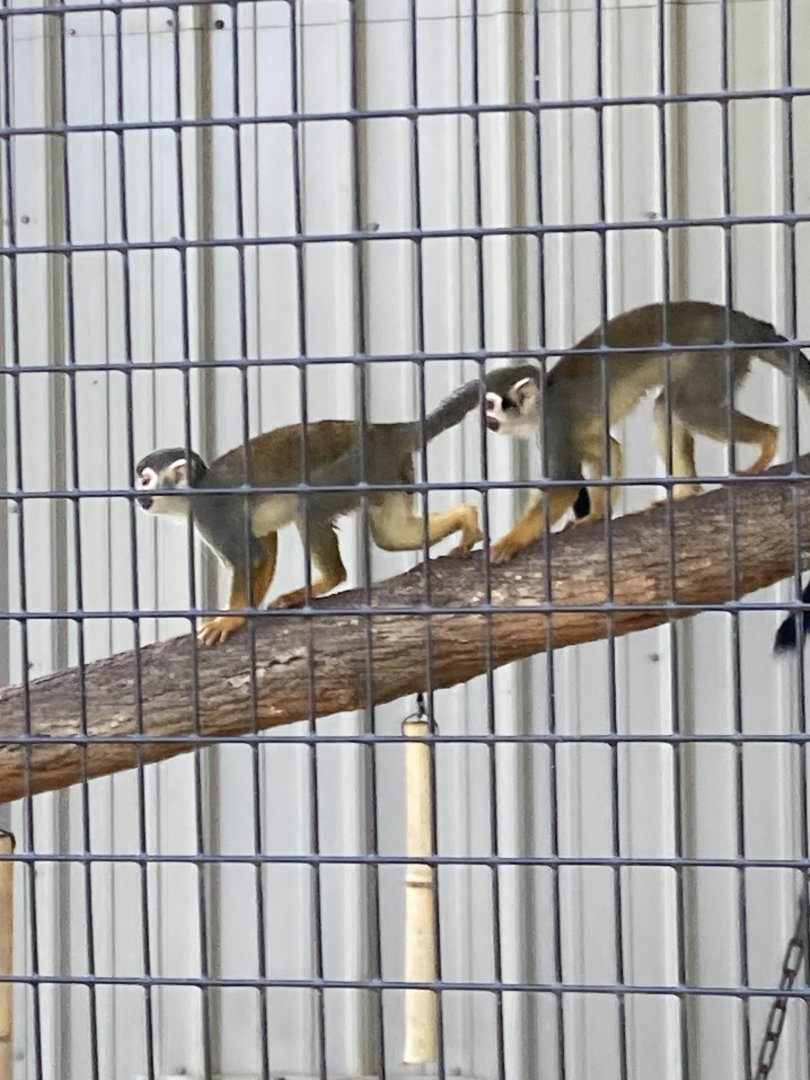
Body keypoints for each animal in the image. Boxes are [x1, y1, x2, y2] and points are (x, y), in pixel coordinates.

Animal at [135, 363, 543, 645]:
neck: (196, 491)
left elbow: (251, 556)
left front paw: (231, 619)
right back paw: (467, 518)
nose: (139, 496)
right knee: (393, 535)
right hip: (388, 471)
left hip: (354, 466)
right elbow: (265, 545)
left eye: (145, 480)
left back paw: (328, 580)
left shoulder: (212, 514)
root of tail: (387, 430)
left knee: (308, 507)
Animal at [482, 300, 810, 565]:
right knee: (667, 406)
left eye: (491, 405)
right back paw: (685, 493)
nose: (487, 421)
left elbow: (564, 484)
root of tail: (742, 321)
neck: (538, 407)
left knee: (686, 406)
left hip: (712, 352)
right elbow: (607, 448)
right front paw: (596, 515)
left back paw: (768, 441)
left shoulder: (554, 423)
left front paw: (511, 541)